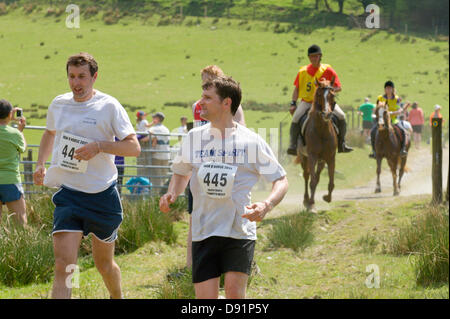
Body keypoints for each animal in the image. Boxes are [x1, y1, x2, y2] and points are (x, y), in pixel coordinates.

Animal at [298, 79, 336, 211]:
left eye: (332, 95)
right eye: (319, 94)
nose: (327, 114)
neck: (322, 130)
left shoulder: (331, 157)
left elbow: (331, 182)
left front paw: (327, 198)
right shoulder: (312, 156)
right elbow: (312, 181)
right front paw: (311, 205)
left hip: (322, 160)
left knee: (317, 176)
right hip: (304, 158)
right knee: (306, 176)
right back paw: (306, 200)